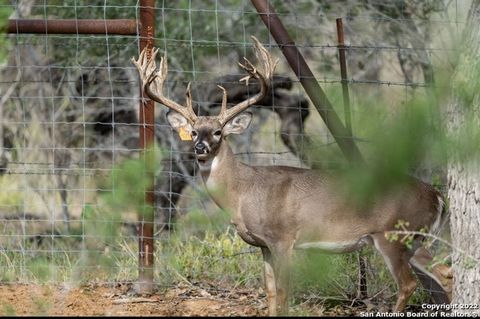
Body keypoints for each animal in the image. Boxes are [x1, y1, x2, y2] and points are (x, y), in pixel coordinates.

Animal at [132, 36, 454, 316]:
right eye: (194, 131)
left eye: (219, 132)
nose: (199, 148)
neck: (244, 191)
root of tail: (437, 195)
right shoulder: (263, 244)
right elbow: (270, 292)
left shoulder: (283, 237)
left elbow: (285, 293)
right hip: (416, 239)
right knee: (446, 273)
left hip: (393, 235)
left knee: (409, 284)